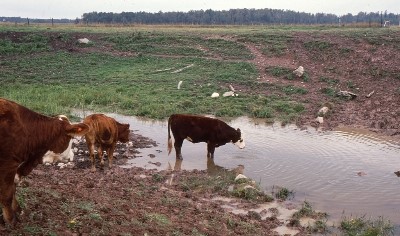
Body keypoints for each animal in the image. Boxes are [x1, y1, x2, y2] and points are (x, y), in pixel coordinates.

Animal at [0, 98, 88, 226]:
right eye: (71, 138)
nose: (72, 155)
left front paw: (18, 210)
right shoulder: (8, 165)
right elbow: (7, 193)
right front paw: (11, 220)